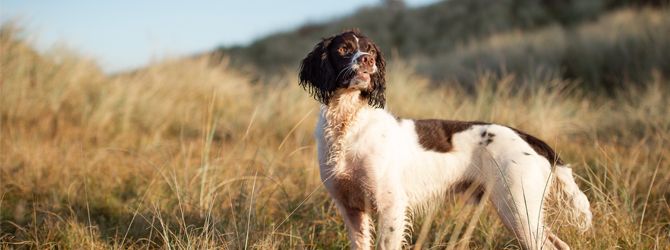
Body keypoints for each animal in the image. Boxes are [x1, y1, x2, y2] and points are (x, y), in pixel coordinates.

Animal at [300, 28, 592, 248]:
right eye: (343, 49)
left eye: (371, 51)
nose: (367, 61)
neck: (348, 124)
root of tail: (528, 137)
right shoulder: (351, 209)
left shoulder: (391, 205)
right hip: (522, 212)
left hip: (517, 208)